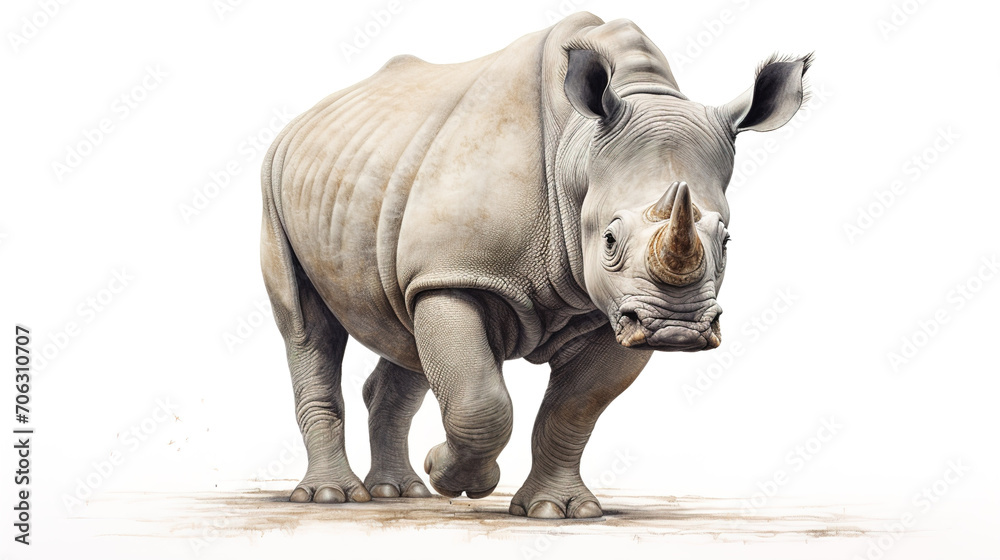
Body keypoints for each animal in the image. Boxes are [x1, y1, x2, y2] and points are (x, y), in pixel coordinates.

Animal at [260, 11, 811, 518]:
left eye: (727, 241)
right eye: (609, 239)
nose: (678, 329)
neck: (577, 152)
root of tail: (305, 118)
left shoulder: (616, 311)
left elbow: (574, 407)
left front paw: (557, 509)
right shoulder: (457, 273)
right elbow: (480, 400)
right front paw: (457, 477)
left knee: (403, 323)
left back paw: (401, 492)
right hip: (275, 180)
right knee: (306, 326)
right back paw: (332, 497)